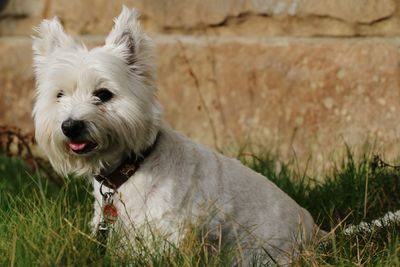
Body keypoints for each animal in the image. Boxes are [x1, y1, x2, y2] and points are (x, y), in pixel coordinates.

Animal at [32, 6, 322, 266]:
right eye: (59, 95)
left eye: (103, 94)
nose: (70, 126)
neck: (131, 168)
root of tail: (315, 232)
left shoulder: (165, 232)